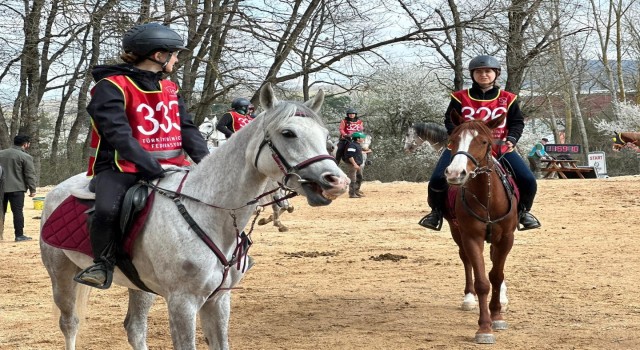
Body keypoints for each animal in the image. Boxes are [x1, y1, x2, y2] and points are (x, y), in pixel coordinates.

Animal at [38, 84, 350, 350]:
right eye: (288, 133)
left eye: (325, 137)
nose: (336, 182)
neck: (209, 211)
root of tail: (58, 190)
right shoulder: (183, 303)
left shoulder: (218, 300)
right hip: (61, 277)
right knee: (70, 323)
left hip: (141, 287)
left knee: (134, 328)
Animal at [444, 110, 520, 344]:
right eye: (452, 141)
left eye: (484, 141)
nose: (455, 173)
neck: (488, 199)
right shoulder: (471, 237)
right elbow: (482, 282)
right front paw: (484, 327)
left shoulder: (506, 238)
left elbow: (496, 275)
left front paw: (497, 316)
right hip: (457, 232)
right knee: (466, 260)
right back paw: (469, 298)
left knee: (496, 263)